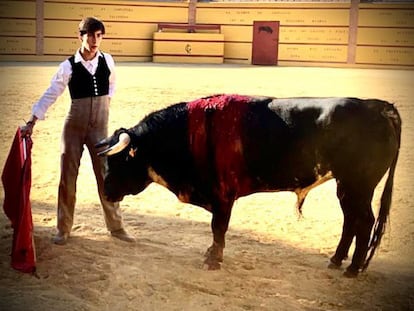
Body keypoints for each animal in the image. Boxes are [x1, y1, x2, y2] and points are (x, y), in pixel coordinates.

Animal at [95, 95, 400, 278]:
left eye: (120, 160)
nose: (107, 192)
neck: (188, 133)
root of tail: (379, 107)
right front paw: (211, 254)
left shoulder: (222, 196)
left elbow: (218, 228)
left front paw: (213, 260)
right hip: (346, 185)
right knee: (351, 221)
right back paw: (336, 260)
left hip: (359, 184)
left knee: (364, 221)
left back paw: (353, 268)